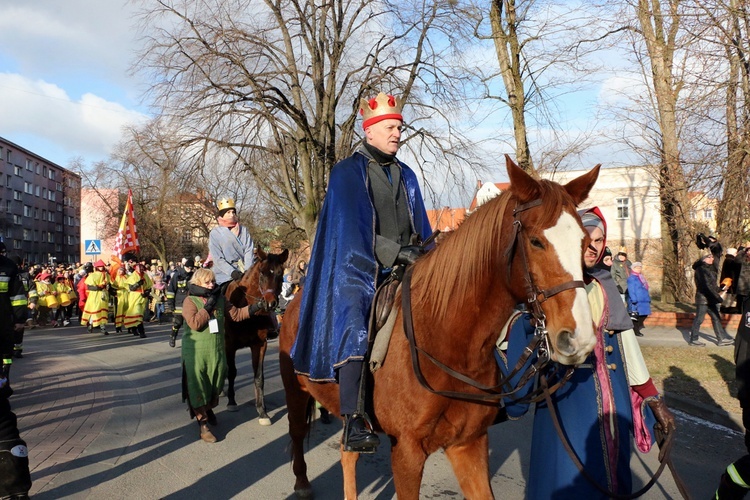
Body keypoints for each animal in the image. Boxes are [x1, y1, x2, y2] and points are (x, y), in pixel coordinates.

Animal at [223, 248, 288, 424]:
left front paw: (262, 411)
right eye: (262, 273)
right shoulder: (229, 345)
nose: (270, 303)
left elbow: (259, 377)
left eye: (280, 273)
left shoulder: (259, 345)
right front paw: (231, 402)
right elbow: (232, 372)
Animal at [280, 157, 604, 500]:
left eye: (585, 242)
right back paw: (301, 483)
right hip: (296, 391)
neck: (451, 344)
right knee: (298, 433)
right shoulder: (407, 452)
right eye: (535, 241)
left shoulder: (469, 444)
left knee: (347, 454)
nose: (579, 339)